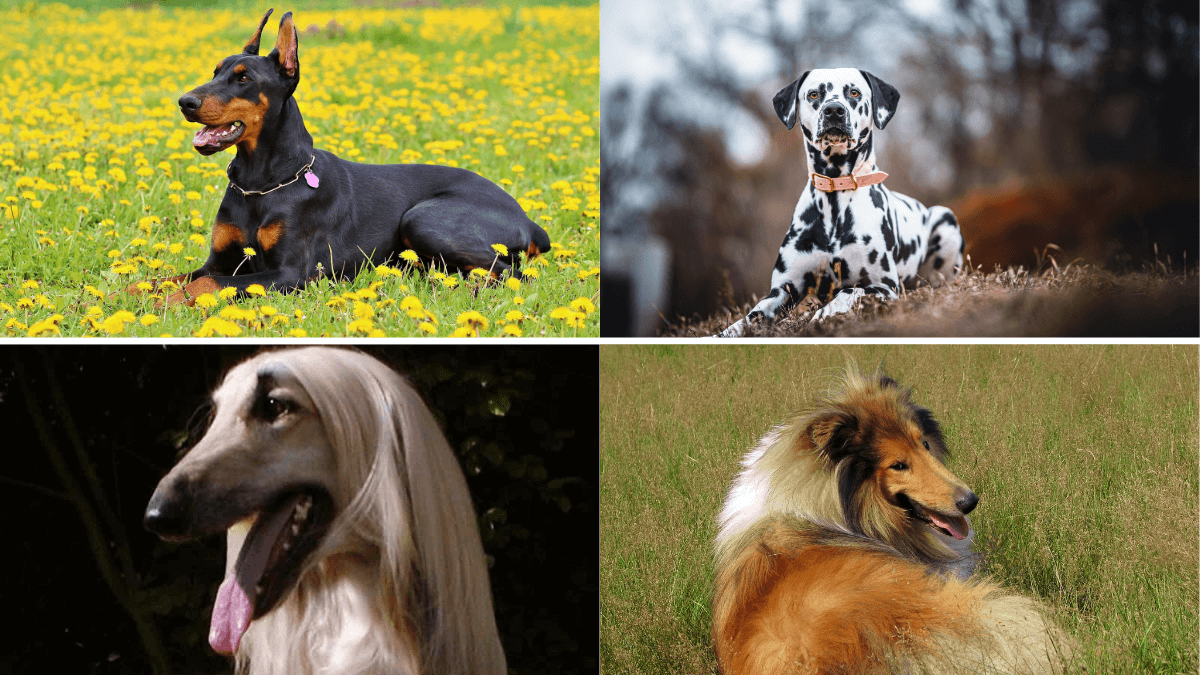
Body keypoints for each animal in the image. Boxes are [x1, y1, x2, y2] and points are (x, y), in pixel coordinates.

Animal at [157, 9, 554, 303]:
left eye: (243, 79)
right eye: (215, 71)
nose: (184, 102)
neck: (262, 182)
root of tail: (528, 219)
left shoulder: (290, 273)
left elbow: (204, 285)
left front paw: (167, 303)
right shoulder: (219, 260)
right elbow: (165, 278)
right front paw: (145, 293)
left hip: (422, 220)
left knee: (514, 274)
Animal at [720, 68, 964, 336]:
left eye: (854, 92)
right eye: (814, 94)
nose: (834, 110)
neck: (835, 196)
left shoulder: (885, 287)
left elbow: (848, 291)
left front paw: (822, 316)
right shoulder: (783, 290)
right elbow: (748, 319)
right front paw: (722, 333)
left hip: (945, 218)